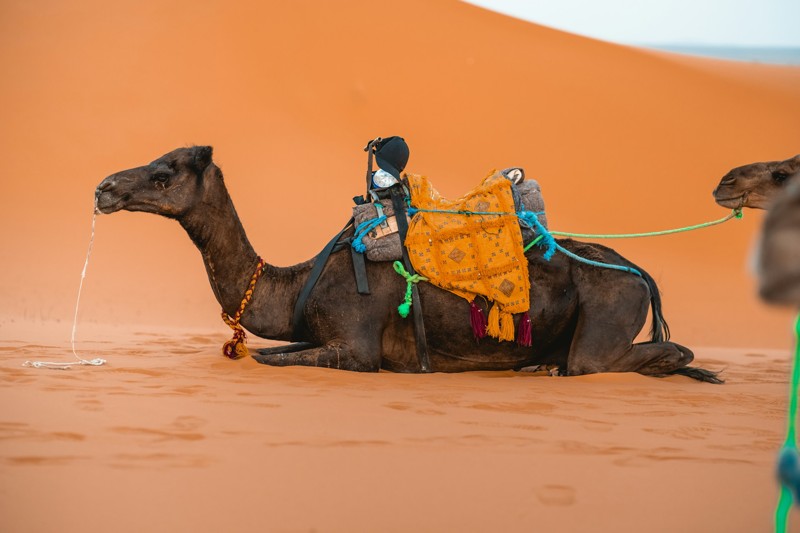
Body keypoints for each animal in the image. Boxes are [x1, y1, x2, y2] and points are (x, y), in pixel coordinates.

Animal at [95, 146, 720, 382]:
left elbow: (272, 359)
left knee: (610, 359)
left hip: (610, 313)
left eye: (164, 173)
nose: (104, 188)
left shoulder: (357, 347)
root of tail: (640, 272)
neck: (295, 282)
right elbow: (276, 351)